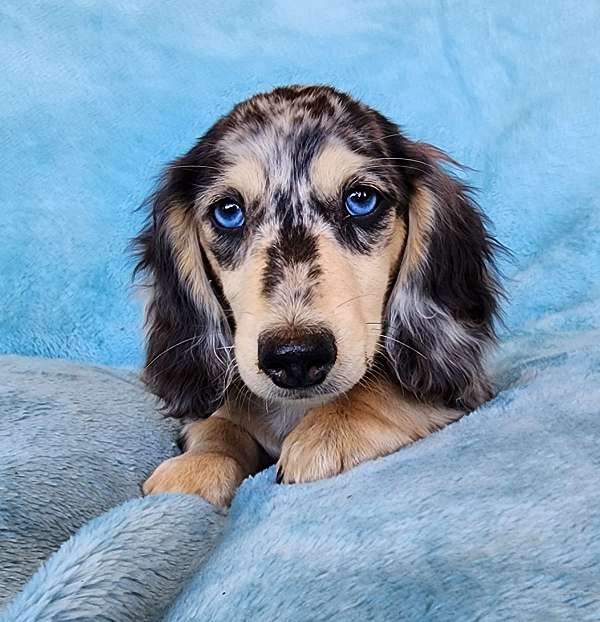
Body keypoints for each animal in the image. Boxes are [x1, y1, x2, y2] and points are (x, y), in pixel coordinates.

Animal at [137, 84, 502, 508]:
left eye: (361, 200)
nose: (295, 357)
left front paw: (329, 429)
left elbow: (383, 386)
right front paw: (201, 462)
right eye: (228, 212)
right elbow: (219, 425)